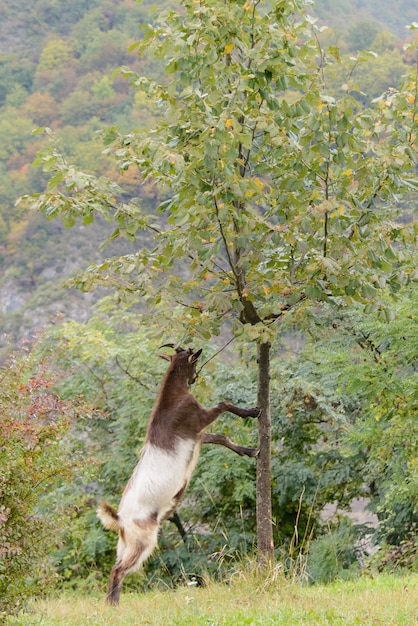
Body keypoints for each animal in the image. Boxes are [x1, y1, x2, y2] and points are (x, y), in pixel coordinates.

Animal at [97, 344, 258, 604]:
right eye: (194, 362)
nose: (194, 379)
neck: (172, 398)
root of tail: (120, 519)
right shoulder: (198, 417)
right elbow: (223, 404)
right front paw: (253, 411)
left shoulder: (198, 435)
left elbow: (221, 438)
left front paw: (250, 451)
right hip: (143, 540)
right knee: (119, 570)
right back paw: (114, 605)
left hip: (125, 543)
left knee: (115, 566)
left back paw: (110, 604)